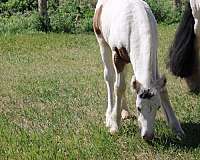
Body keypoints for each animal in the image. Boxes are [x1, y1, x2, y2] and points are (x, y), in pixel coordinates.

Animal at [93, 0, 184, 140]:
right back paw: (109, 116)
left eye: (158, 107)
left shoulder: (154, 56)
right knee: (110, 78)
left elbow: (162, 88)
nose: (148, 135)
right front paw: (115, 126)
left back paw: (125, 112)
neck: (134, 21)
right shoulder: (117, 56)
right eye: (138, 108)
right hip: (102, 43)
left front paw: (177, 128)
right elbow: (119, 87)